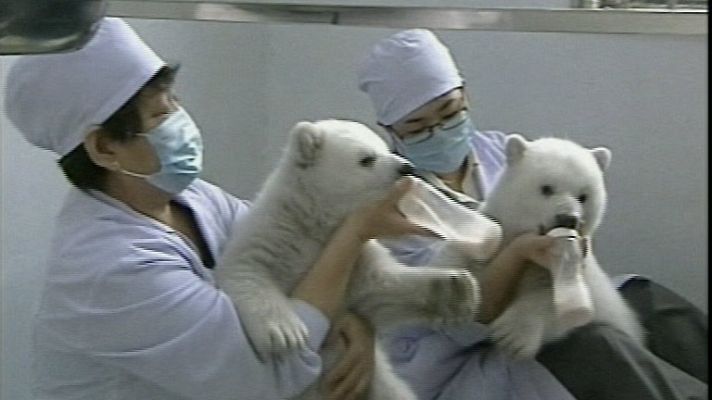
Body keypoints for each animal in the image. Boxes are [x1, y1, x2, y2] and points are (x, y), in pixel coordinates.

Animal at [216, 119, 480, 400]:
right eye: (367, 159)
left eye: (384, 147)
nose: (406, 168)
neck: (317, 220)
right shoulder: (276, 231)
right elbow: (247, 268)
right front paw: (284, 333)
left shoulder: (357, 256)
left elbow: (379, 289)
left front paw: (457, 289)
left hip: (378, 383)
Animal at [476, 133, 643, 358]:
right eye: (546, 188)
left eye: (583, 196)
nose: (568, 218)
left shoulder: (581, 270)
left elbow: (564, 301)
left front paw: (512, 336)